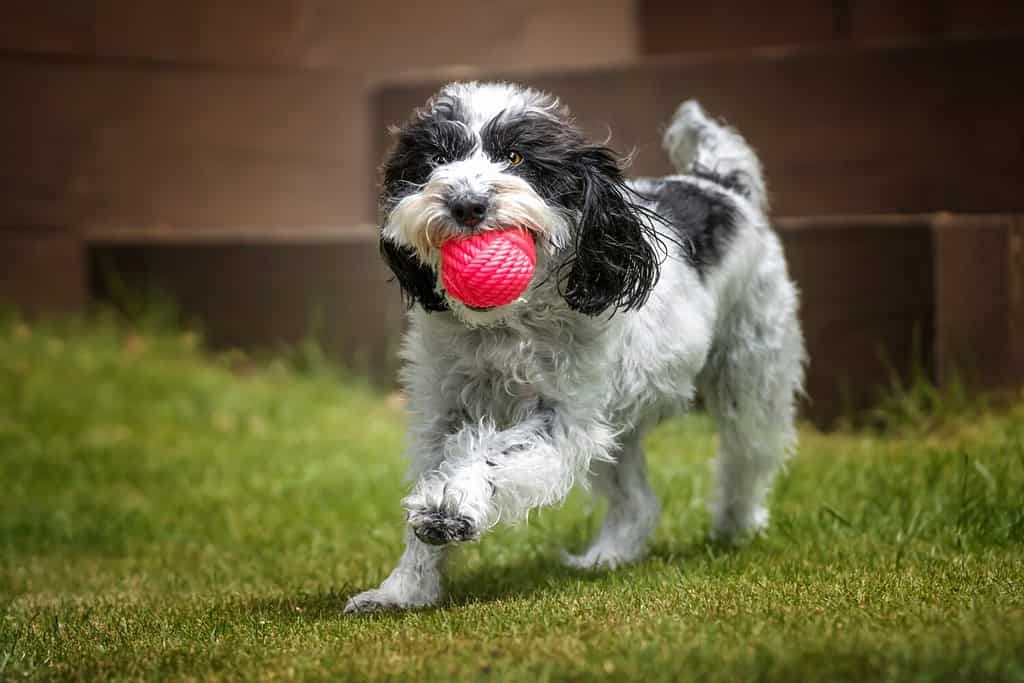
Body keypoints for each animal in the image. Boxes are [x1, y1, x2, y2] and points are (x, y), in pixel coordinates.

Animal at [346, 81, 806, 614]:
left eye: (516, 156)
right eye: (437, 158)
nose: (466, 204)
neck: (504, 327)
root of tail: (719, 184)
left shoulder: (563, 417)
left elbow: (492, 453)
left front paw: (451, 505)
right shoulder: (441, 411)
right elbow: (437, 476)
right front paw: (402, 590)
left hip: (751, 373)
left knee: (747, 455)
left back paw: (737, 527)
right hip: (616, 425)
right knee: (639, 502)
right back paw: (608, 556)